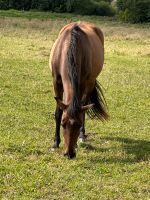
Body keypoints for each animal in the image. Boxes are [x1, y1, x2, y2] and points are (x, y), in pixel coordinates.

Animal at [49, 21, 108, 159]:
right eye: (63, 124)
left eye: (79, 124)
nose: (69, 154)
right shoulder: (56, 82)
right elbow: (58, 112)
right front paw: (55, 142)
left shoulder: (82, 83)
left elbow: (82, 111)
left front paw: (78, 139)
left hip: (90, 82)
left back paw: (82, 136)